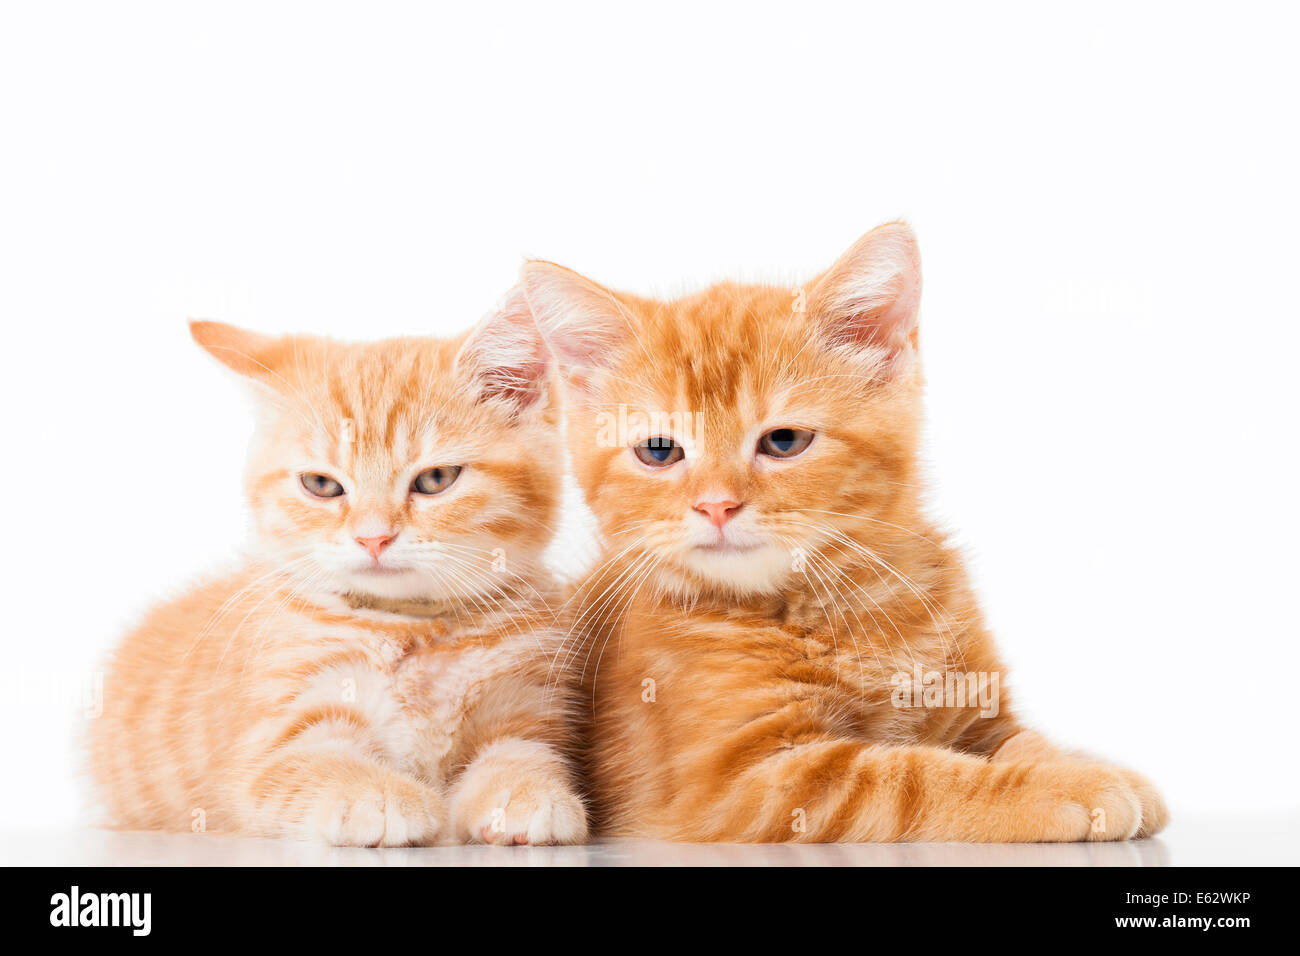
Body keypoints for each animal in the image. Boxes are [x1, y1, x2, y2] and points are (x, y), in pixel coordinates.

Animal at [86, 295, 585, 848]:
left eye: (436, 479)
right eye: (322, 485)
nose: (373, 537)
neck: (409, 626)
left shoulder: (525, 708)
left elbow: (524, 752)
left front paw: (527, 791)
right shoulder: (271, 744)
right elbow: (316, 765)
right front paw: (383, 797)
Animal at [522, 226, 1175, 842]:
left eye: (784, 441)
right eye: (659, 451)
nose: (716, 505)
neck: (845, 603)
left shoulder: (980, 714)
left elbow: (1019, 741)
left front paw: (1085, 764)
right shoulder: (744, 785)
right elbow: (913, 778)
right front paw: (1060, 789)